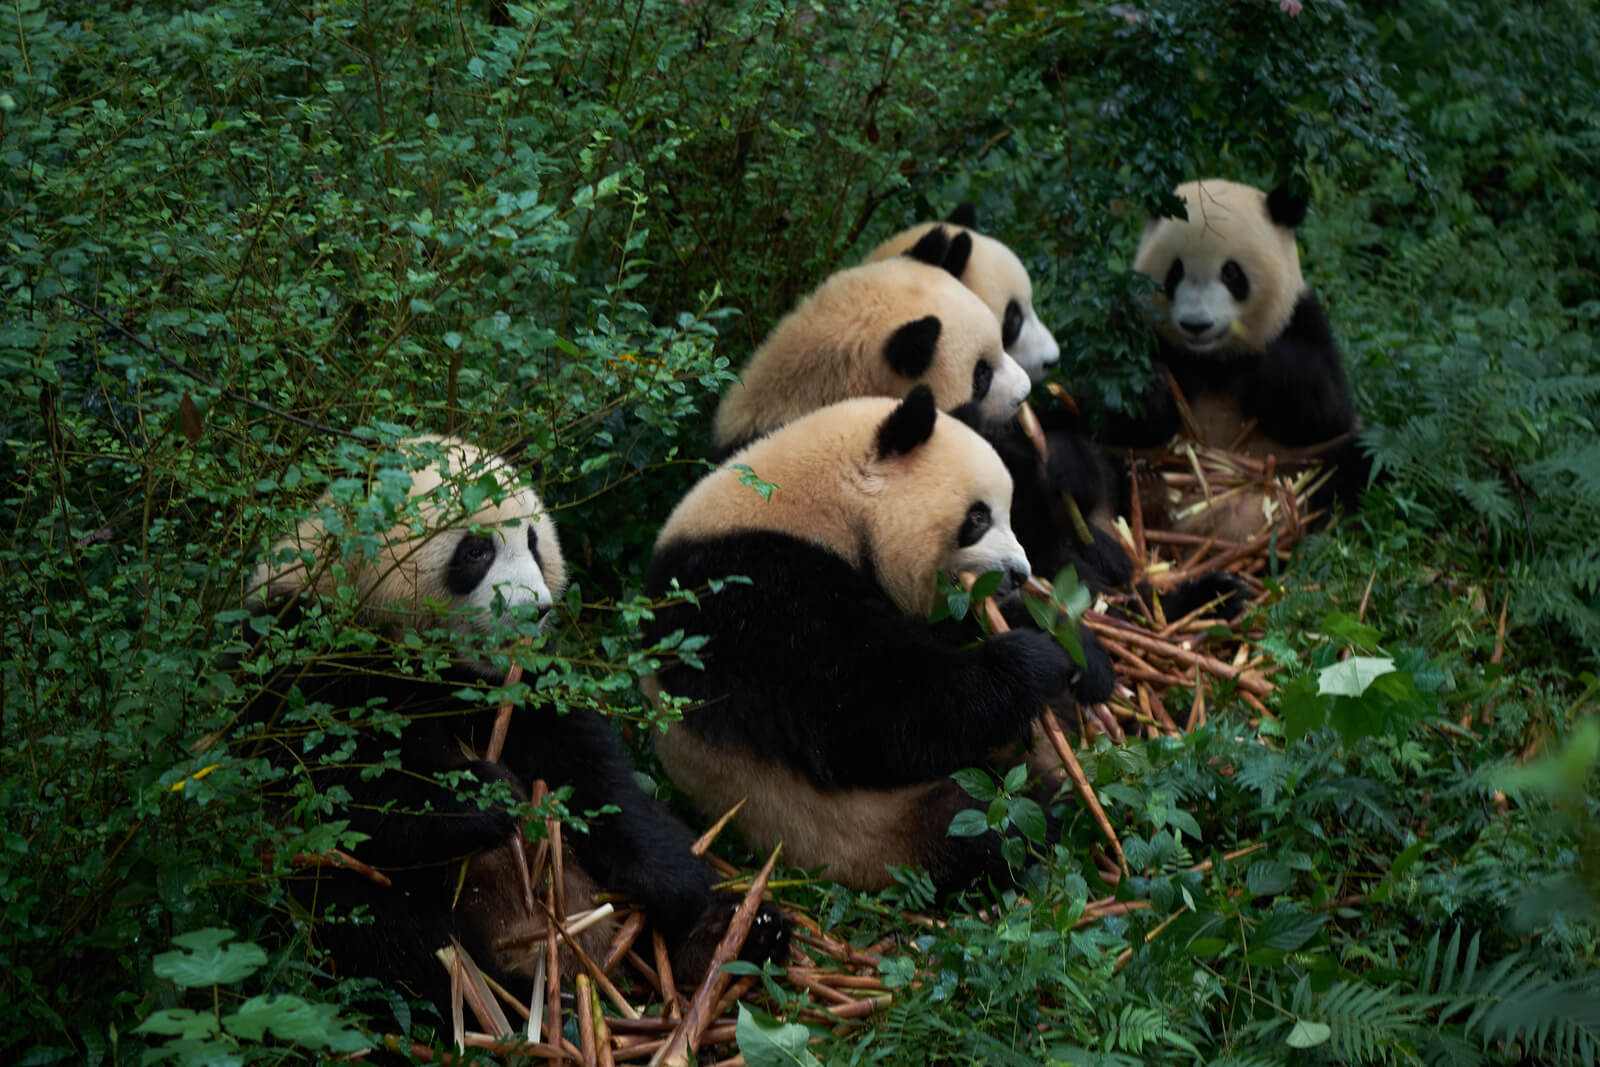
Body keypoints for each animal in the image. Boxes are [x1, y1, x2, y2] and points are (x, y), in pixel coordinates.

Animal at [240, 431, 784, 1017]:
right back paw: (511, 998)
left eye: (533, 542)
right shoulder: (300, 657)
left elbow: (594, 776)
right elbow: (335, 782)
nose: (534, 611)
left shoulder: (523, 682)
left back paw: (731, 934)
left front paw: (692, 894)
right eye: (476, 551)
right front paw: (485, 797)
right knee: (376, 923)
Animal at [636, 390, 1100, 895]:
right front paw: (1035, 662)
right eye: (978, 517)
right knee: (988, 824)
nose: (1019, 573)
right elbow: (868, 715)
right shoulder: (752, 599)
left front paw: (1082, 656)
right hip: (868, 833)